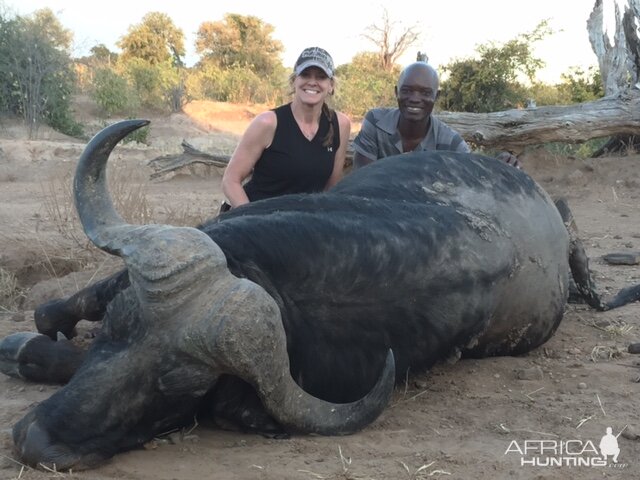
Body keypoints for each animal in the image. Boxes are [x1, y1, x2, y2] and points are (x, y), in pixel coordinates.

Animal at [0, 118, 636, 470]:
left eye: (177, 385)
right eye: (117, 329)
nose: (35, 441)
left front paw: (33, 352)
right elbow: (60, 311)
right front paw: (33, 338)